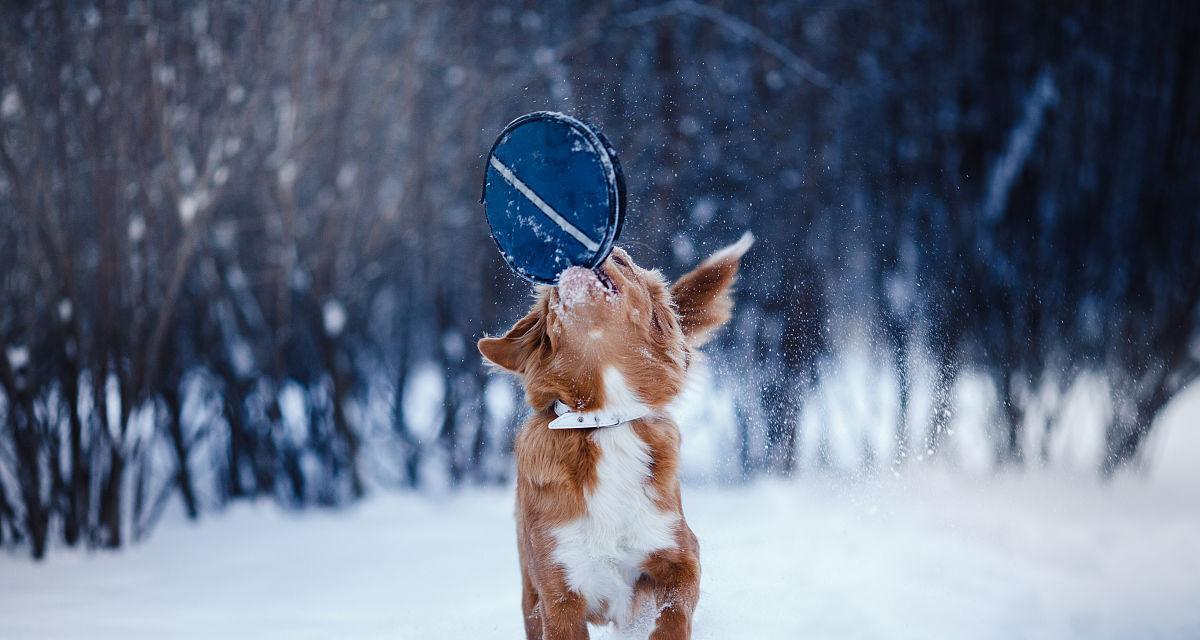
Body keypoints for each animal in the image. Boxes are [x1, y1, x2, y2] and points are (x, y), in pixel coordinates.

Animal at [475, 234, 748, 638]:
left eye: (621, 260)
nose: (585, 254)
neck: (605, 418)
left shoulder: (680, 554)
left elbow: (674, 612)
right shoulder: (559, 591)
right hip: (530, 595)